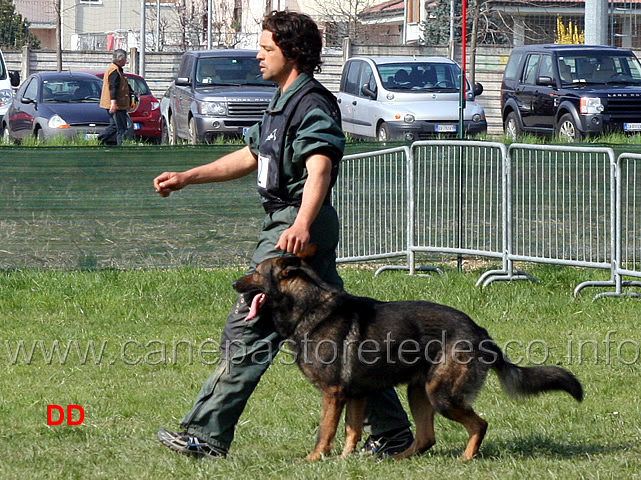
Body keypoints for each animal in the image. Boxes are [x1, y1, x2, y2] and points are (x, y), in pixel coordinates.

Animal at [232, 255, 584, 462]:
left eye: (255, 272)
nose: (234, 284)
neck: (307, 306)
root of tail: (479, 331)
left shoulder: (333, 394)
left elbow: (326, 431)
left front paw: (314, 460)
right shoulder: (355, 395)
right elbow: (351, 431)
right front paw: (345, 461)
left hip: (440, 395)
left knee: (479, 424)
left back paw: (466, 459)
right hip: (419, 392)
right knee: (426, 437)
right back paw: (396, 459)